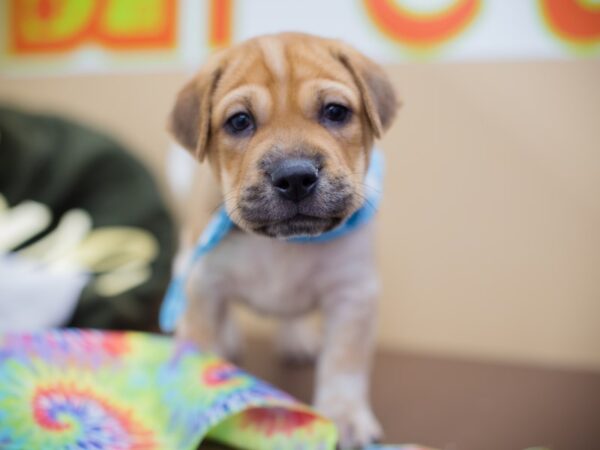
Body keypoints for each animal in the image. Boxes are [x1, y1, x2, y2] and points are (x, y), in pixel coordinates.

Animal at [166, 33, 398, 448]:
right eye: (240, 121)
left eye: (335, 112)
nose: (294, 177)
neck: (284, 245)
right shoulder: (202, 284)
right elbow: (200, 351)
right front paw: (198, 402)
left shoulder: (353, 294)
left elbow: (343, 364)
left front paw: (344, 415)